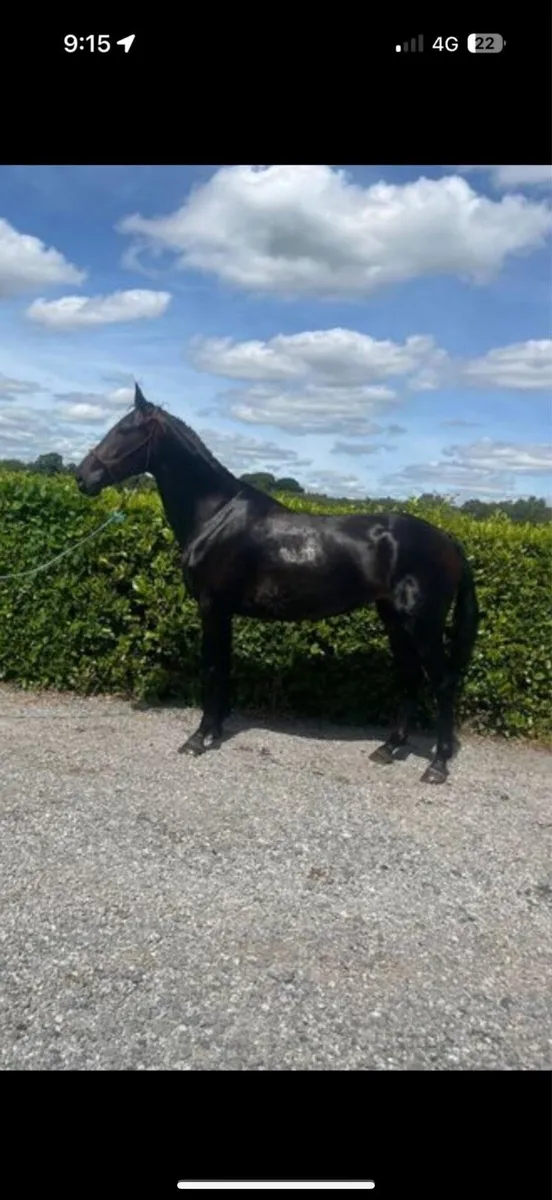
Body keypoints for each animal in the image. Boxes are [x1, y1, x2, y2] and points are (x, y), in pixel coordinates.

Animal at [74, 383, 480, 783]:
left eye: (125, 430)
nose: (82, 477)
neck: (216, 515)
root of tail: (449, 541)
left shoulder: (212, 607)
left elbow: (211, 669)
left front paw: (198, 738)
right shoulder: (224, 612)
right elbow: (224, 668)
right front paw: (215, 730)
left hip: (421, 625)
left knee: (442, 683)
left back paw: (437, 765)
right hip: (395, 621)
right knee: (410, 678)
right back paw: (390, 747)